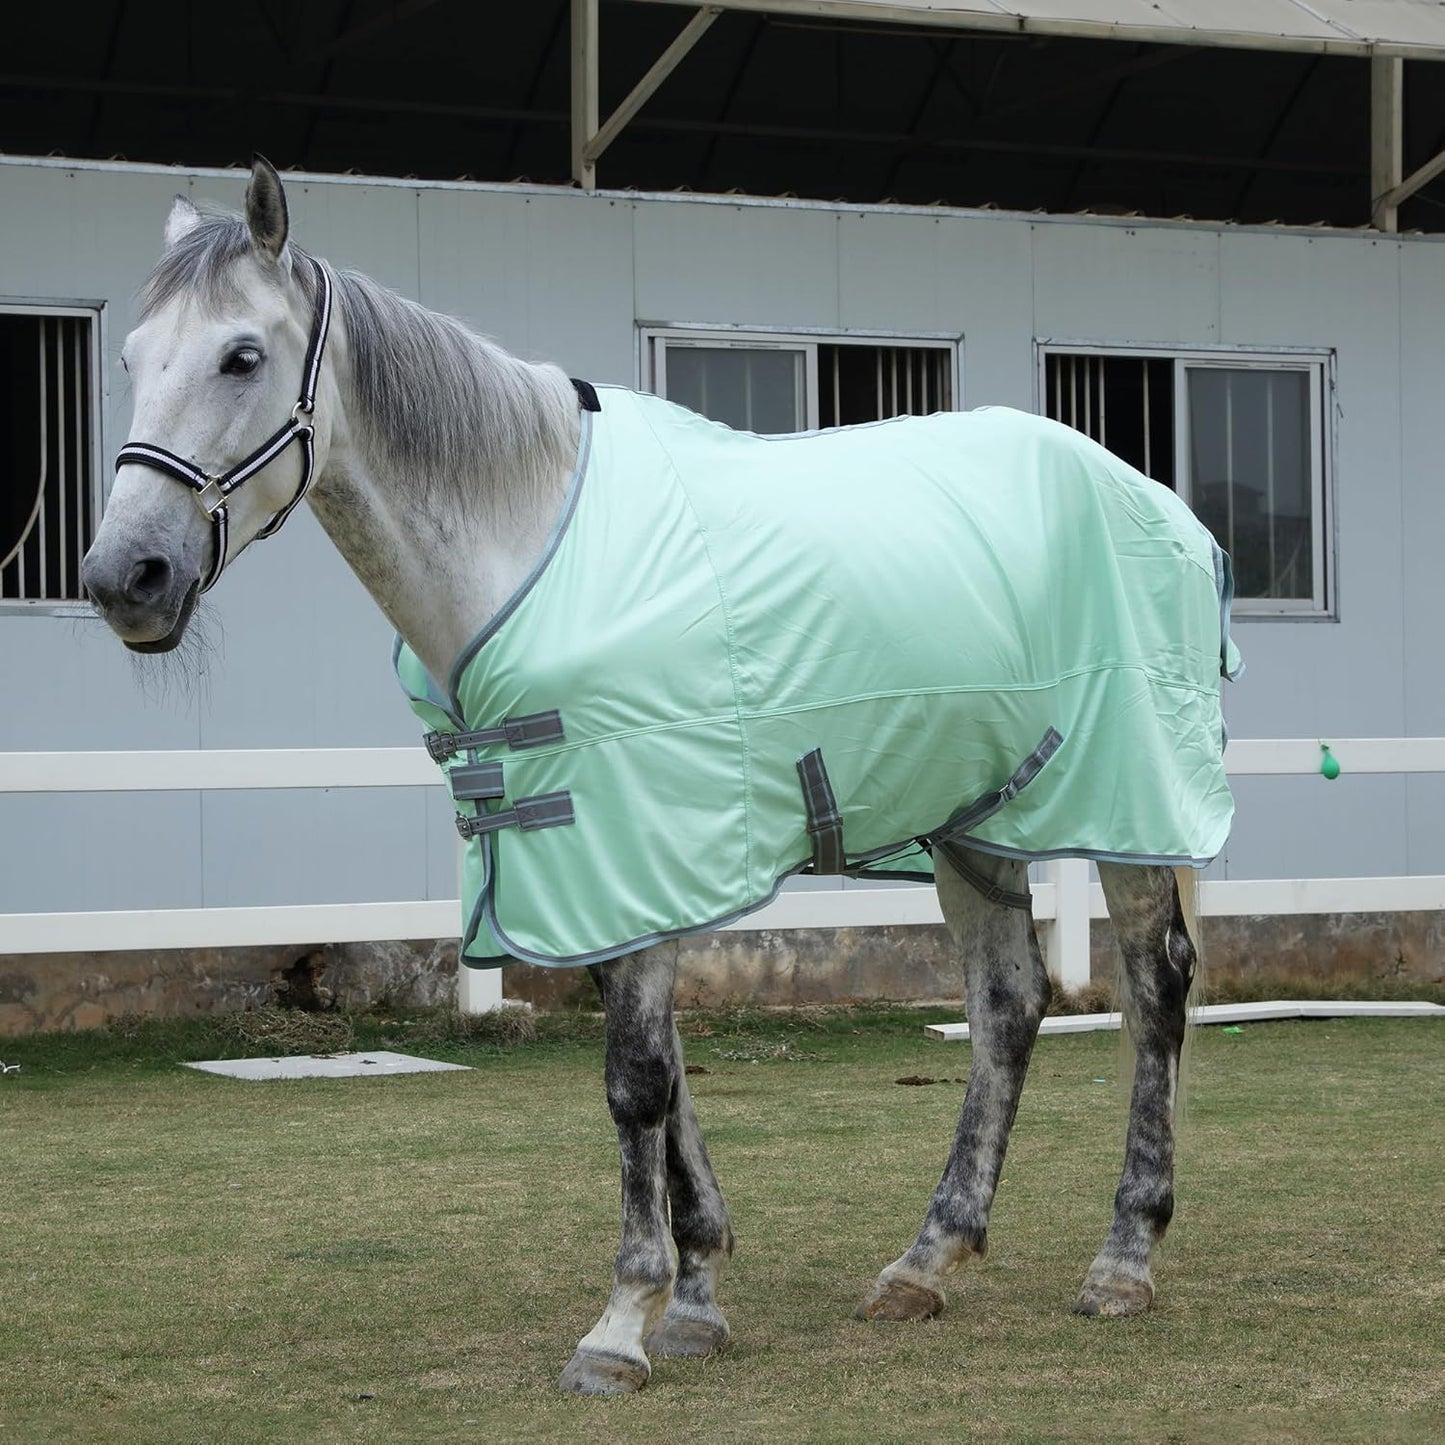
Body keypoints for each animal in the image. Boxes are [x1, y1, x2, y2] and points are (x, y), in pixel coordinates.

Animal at [83, 158, 1233, 1396]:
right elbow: (669, 1073)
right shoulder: (586, 855)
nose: (123, 576)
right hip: (977, 814)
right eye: (132, 360)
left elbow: (635, 1079)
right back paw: (925, 1259)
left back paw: (1121, 1256)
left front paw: (622, 1321)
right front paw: (695, 1298)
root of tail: (1155, 502)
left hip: (1126, 801)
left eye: (242, 355)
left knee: (1153, 986)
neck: (526, 542)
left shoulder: (638, 839)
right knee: (1007, 1003)